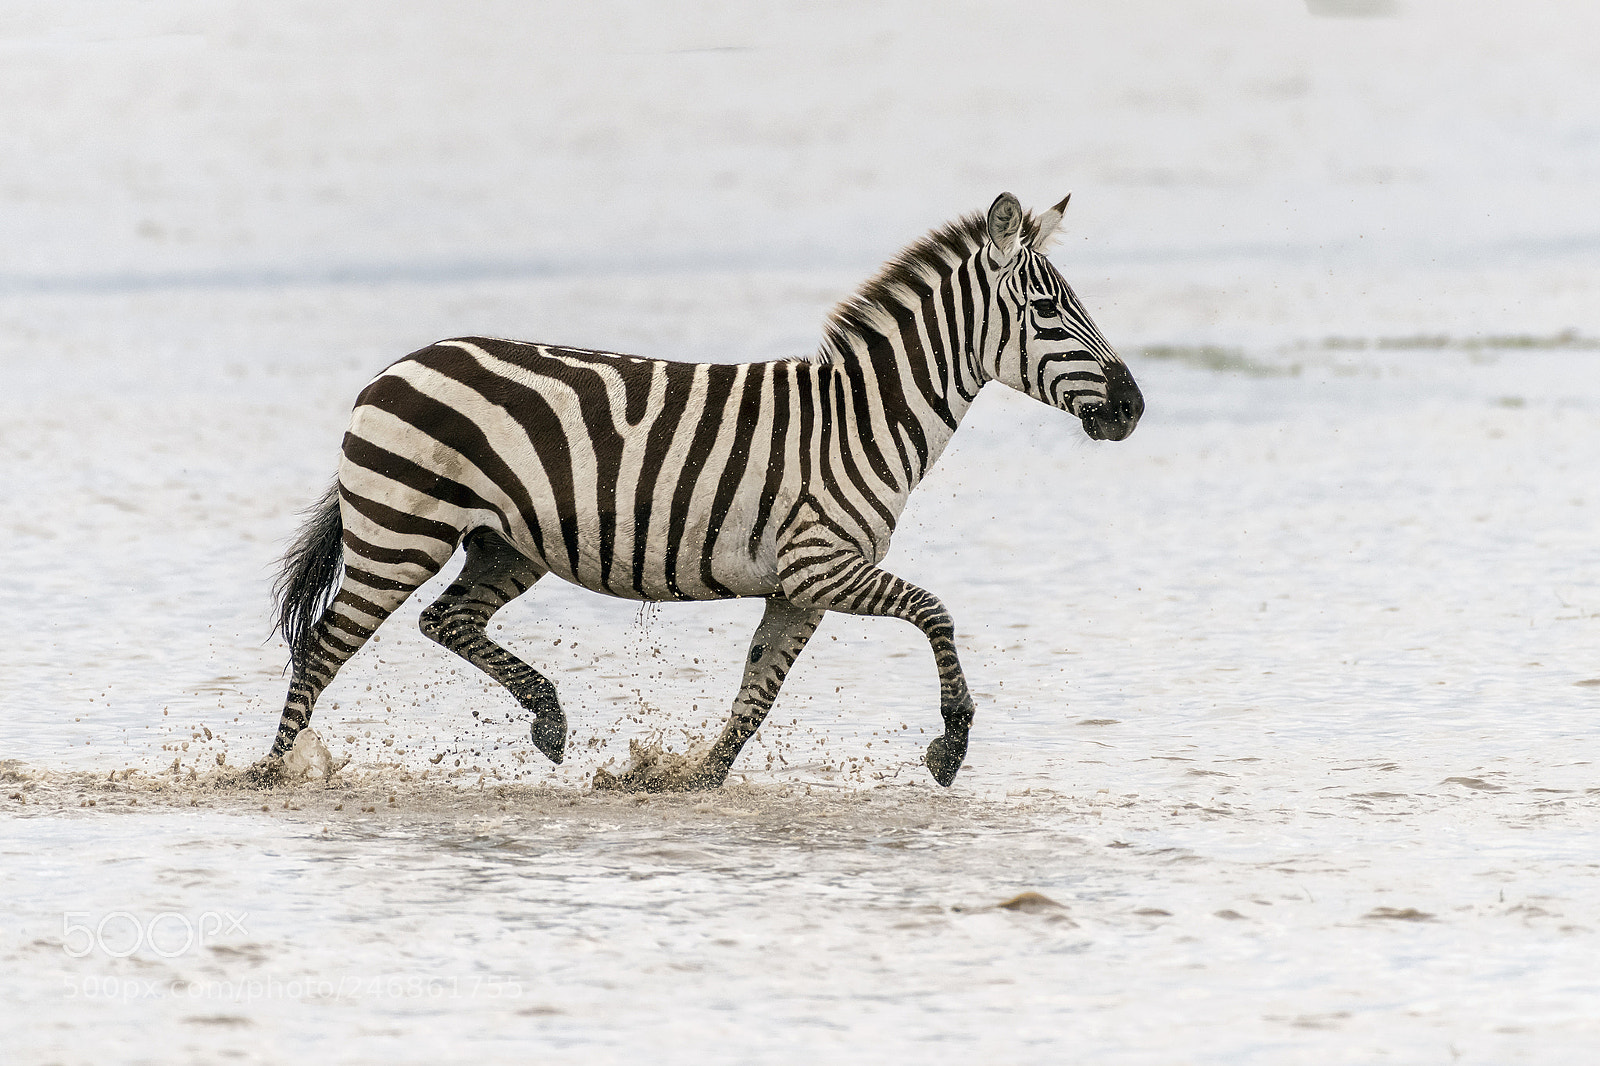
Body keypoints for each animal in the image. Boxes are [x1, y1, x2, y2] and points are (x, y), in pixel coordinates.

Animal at [252, 192, 1143, 790]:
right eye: (1048, 310)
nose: (1134, 407)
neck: (861, 417)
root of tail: (396, 367)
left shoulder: (798, 587)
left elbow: (758, 690)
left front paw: (694, 776)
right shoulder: (822, 564)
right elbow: (937, 612)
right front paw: (951, 745)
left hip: (503, 544)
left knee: (446, 621)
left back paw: (549, 720)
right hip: (400, 530)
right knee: (325, 645)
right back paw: (272, 771)